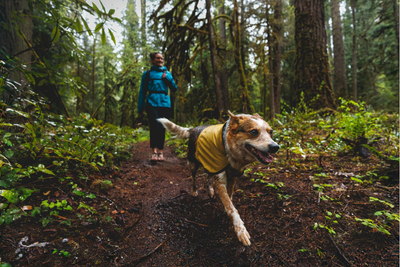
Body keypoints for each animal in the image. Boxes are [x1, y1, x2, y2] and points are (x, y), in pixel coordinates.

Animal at [156, 111, 278, 247]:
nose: (275, 147)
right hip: (193, 163)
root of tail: (194, 128)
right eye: (254, 132)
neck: (228, 149)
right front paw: (240, 231)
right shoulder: (219, 179)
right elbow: (232, 209)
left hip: (209, 164)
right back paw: (194, 190)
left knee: (208, 177)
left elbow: (229, 199)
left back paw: (211, 191)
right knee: (194, 177)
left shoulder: (232, 176)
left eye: (271, 132)